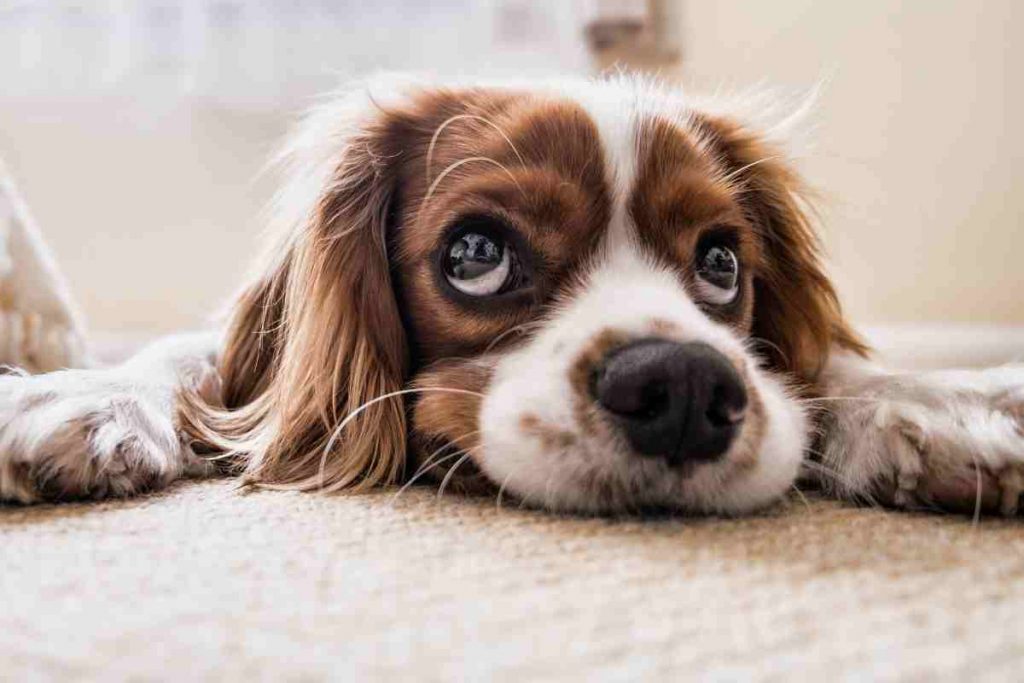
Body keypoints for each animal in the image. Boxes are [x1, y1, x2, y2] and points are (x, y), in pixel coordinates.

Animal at [2, 74, 1024, 516]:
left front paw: (930, 407)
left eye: (722, 263)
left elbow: (831, 366)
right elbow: (191, 357)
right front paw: (82, 397)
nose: (686, 386)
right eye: (476, 253)